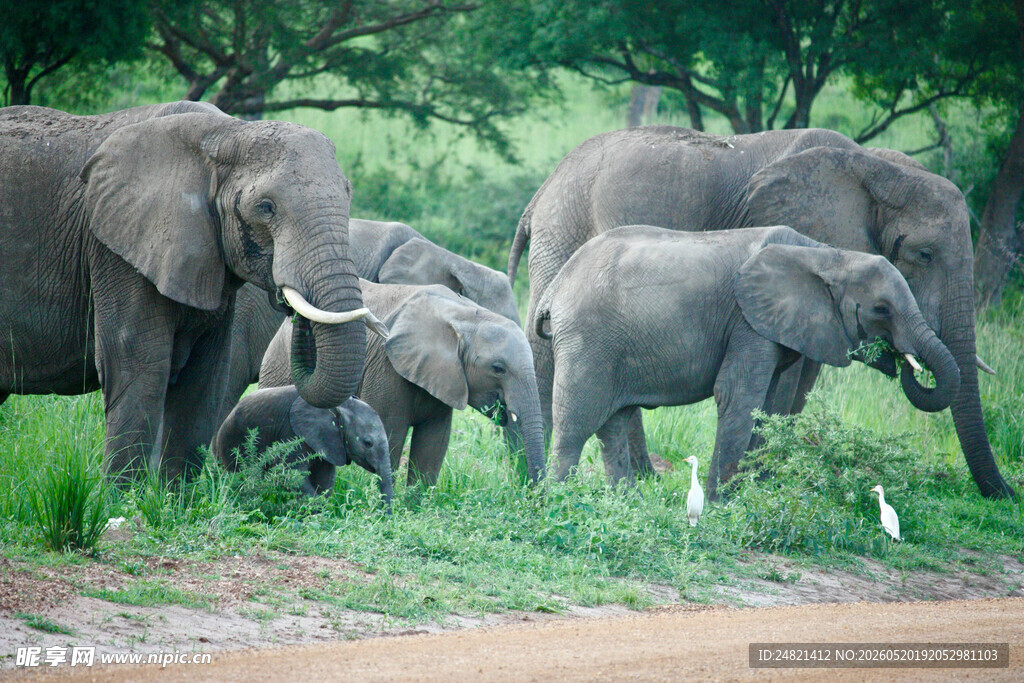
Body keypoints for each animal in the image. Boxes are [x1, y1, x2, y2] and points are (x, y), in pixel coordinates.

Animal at [0, 101, 375, 483]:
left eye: (348, 195)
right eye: (266, 207)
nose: (291, 306)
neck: (226, 133)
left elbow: (204, 380)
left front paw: (174, 496)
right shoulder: (116, 252)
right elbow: (139, 371)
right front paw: (124, 498)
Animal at [212, 386, 392, 506]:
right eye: (367, 443)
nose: (384, 516)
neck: (342, 406)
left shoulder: (329, 441)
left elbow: (325, 478)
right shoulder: (292, 432)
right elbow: (290, 474)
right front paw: (319, 510)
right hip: (231, 441)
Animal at [260, 281, 546, 486]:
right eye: (498, 369)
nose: (536, 500)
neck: (465, 316)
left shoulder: (445, 378)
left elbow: (433, 444)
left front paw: (414, 510)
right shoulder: (388, 367)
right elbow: (390, 435)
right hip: (279, 364)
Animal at [536, 225, 959, 498]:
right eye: (881, 309)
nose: (900, 360)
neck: (827, 254)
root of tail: (555, 287)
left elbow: (767, 407)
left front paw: (743, 497)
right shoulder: (748, 321)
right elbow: (738, 397)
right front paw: (720, 504)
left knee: (612, 422)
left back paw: (626, 502)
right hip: (587, 338)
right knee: (577, 420)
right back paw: (556, 499)